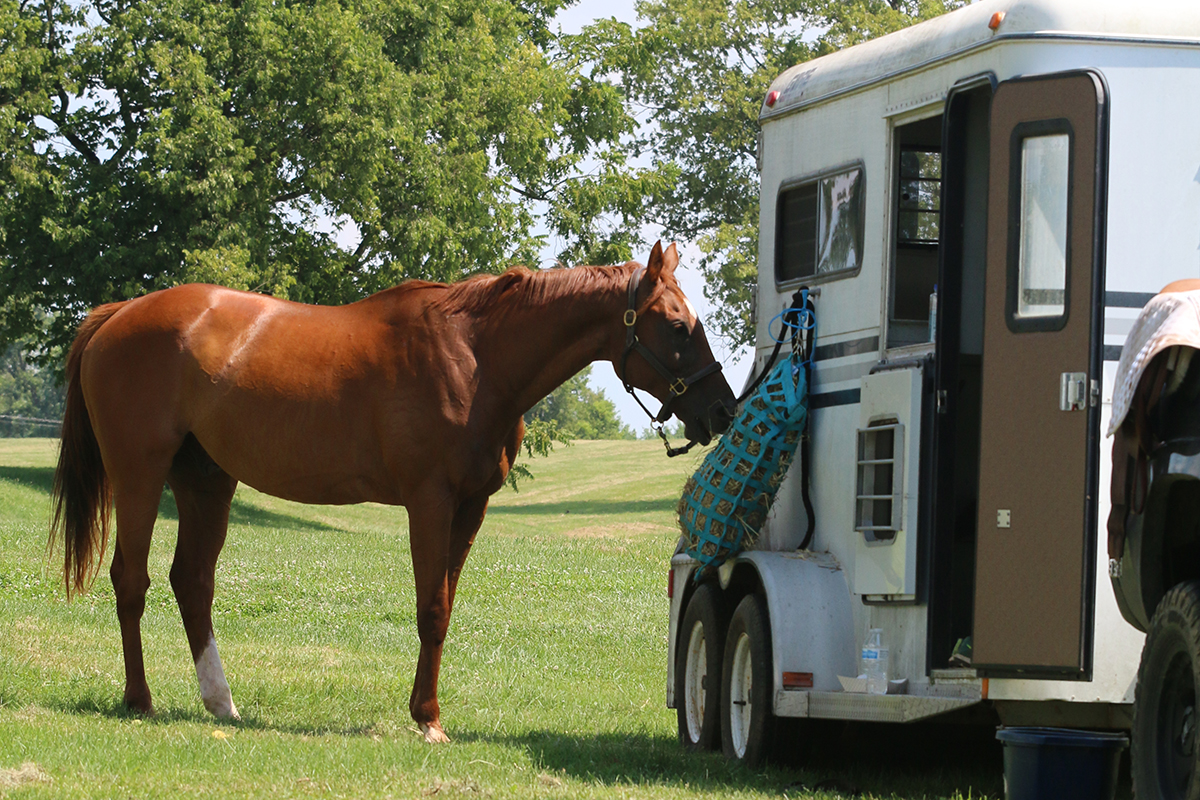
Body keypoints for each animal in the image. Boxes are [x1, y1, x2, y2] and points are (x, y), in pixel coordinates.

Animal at [51, 241, 734, 743]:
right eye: (678, 327)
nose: (723, 410)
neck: (476, 356)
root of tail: (120, 313)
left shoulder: (470, 508)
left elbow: (445, 610)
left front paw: (427, 711)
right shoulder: (430, 502)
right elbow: (430, 609)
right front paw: (428, 721)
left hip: (206, 481)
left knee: (191, 583)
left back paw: (221, 702)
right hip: (139, 474)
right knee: (131, 579)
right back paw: (139, 699)